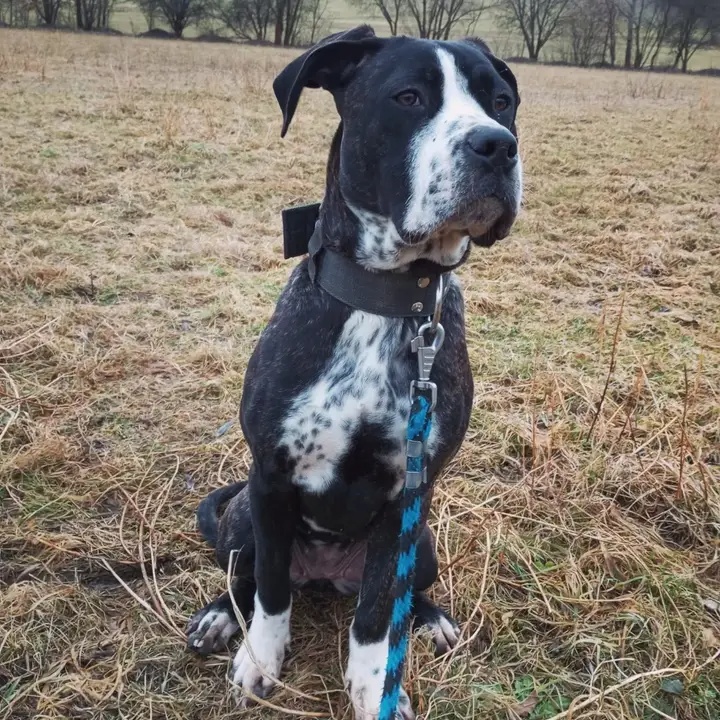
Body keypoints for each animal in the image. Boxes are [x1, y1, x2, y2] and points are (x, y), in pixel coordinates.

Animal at [186, 25, 524, 716]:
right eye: (408, 96)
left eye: (501, 102)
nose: (497, 146)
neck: (385, 299)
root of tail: (325, 576)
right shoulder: (270, 478)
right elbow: (270, 590)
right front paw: (261, 658)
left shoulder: (404, 496)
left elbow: (374, 615)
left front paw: (374, 690)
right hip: (241, 520)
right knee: (246, 575)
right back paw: (219, 616)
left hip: (423, 544)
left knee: (395, 594)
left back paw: (429, 616)